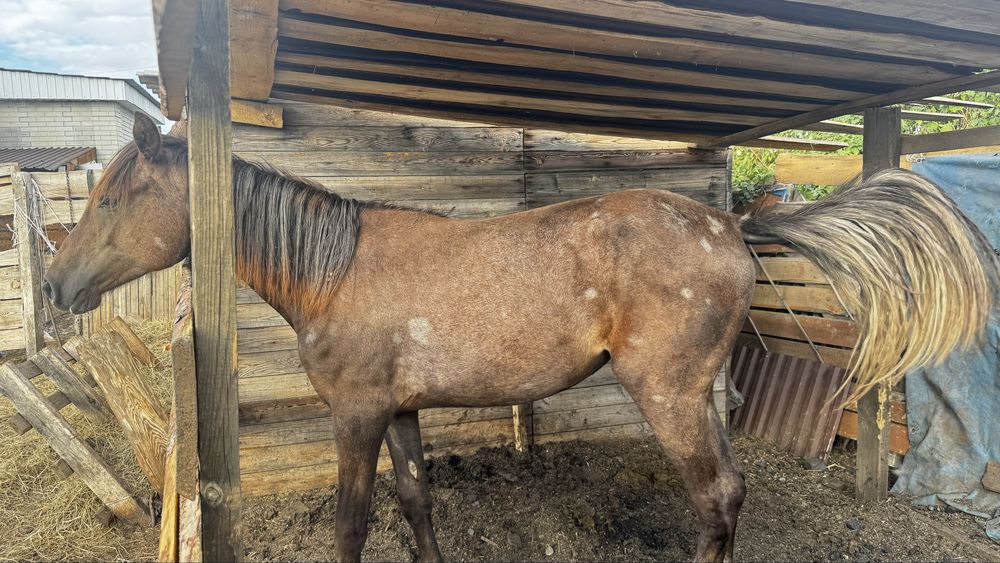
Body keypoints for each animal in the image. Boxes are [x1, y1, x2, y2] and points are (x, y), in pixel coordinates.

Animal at [43, 113, 994, 562]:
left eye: (117, 196)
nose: (55, 285)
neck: (333, 270)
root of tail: (730, 223)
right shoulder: (400, 412)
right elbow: (417, 502)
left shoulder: (355, 416)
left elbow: (351, 522)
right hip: (697, 396)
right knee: (730, 493)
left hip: (670, 394)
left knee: (716, 493)